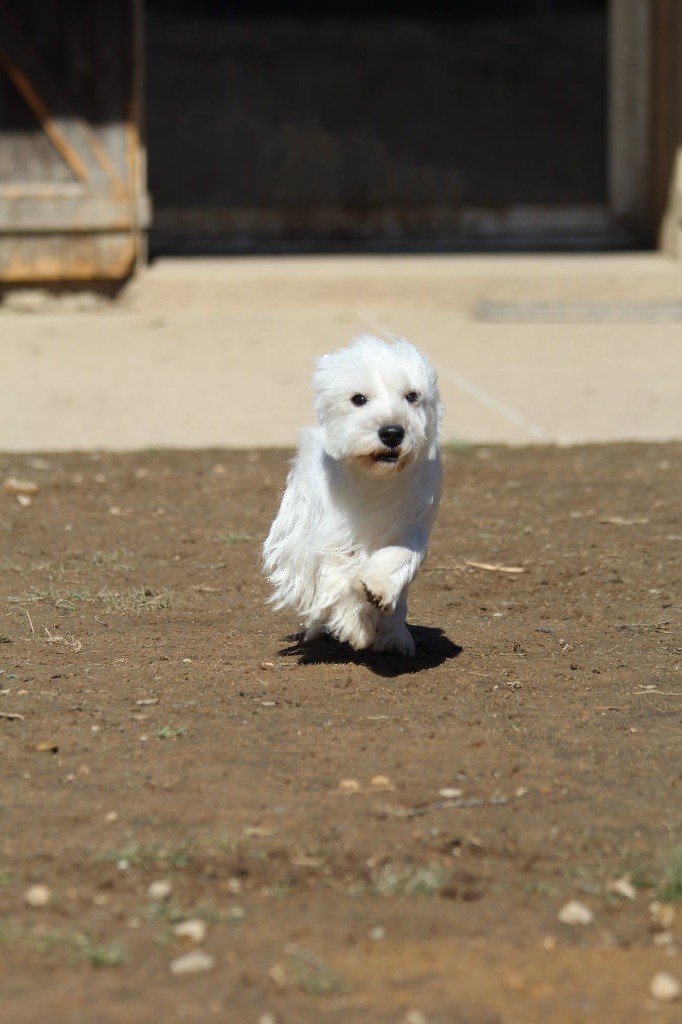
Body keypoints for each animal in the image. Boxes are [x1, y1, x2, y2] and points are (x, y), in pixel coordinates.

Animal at [260, 333, 440, 655]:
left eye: (411, 396)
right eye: (359, 399)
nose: (392, 432)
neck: (372, 479)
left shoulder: (408, 525)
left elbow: (397, 557)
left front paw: (377, 592)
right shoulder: (327, 538)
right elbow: (338, 577)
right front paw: (356, 625)